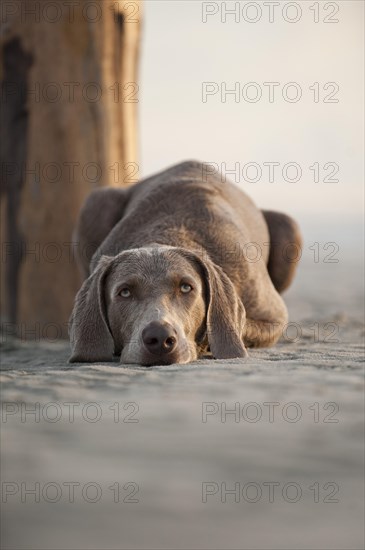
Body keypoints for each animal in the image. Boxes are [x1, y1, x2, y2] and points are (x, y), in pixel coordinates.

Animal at [68, 160, 302, 366]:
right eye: (124, 292)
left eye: (186, 288)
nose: (159, 337)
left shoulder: (273, 315)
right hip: (96, 201)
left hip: (289, 226)